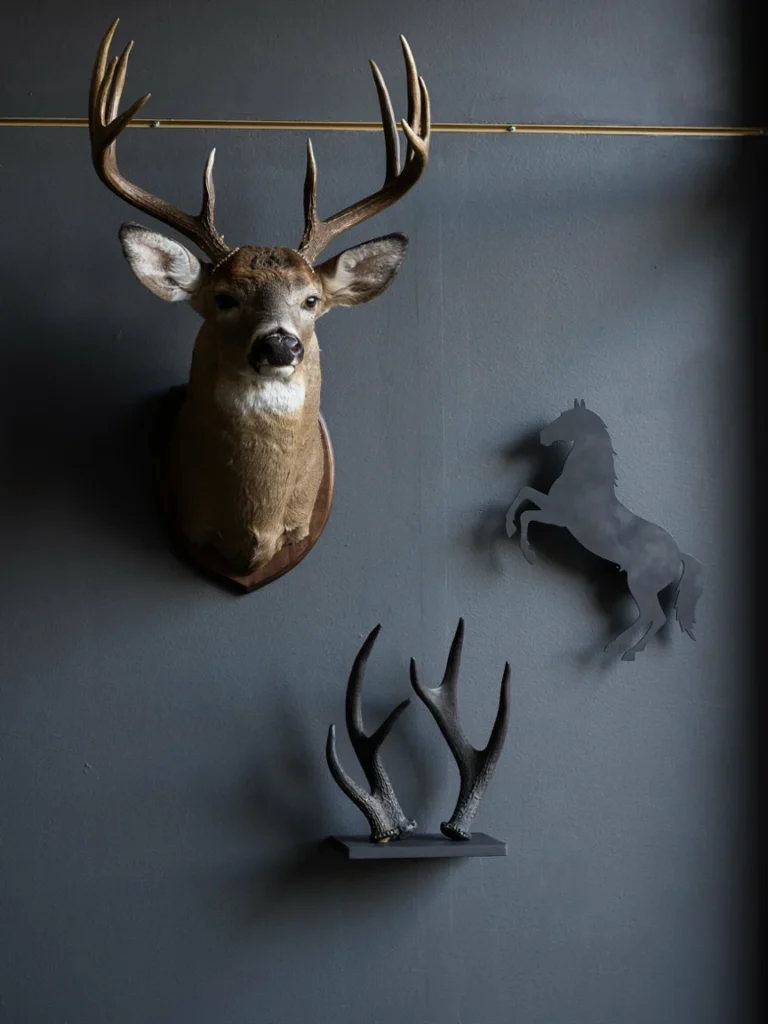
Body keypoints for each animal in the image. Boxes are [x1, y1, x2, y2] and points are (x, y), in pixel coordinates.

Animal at [505, 400, 703, 661]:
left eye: (567, 418)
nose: (542, 436)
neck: (587, 482)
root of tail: (678, 555)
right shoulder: (551, 508)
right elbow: (524, 493)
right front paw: (510, 528)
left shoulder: (557, 517)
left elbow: (526, 509)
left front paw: (525, 550)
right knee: (650, 617)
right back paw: (625, 649)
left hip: (640, 585)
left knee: (653, 617)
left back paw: (622, 650)